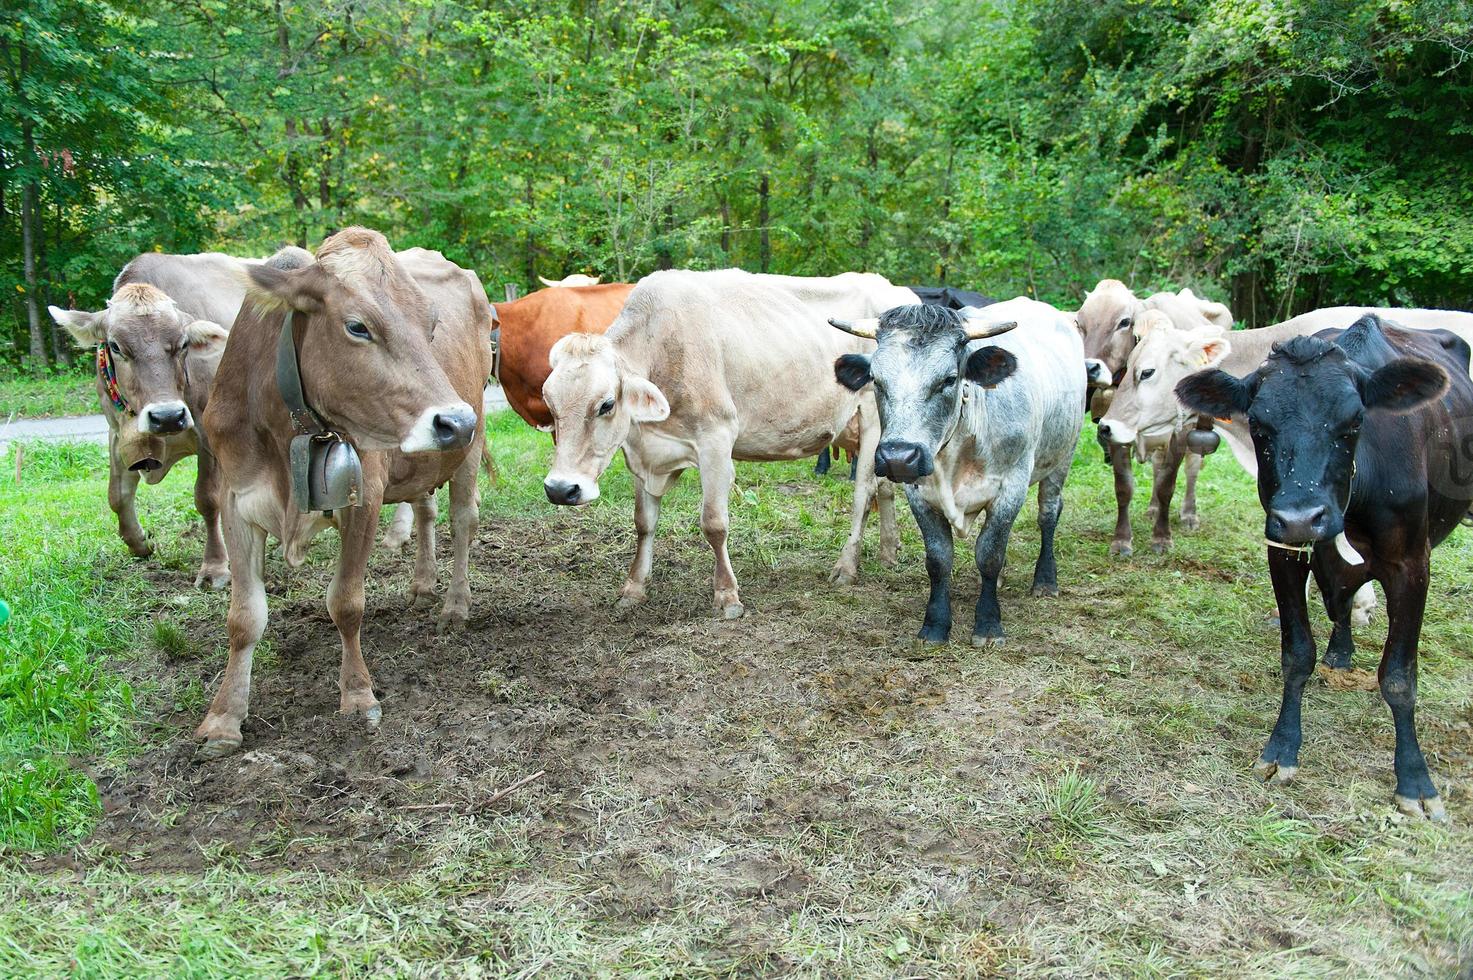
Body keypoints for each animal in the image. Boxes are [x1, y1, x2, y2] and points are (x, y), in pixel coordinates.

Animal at [48, 249, 310, 583]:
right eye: (116, 346)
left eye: (183, 343)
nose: (167, 416)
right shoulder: (116, 432)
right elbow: (118, 495)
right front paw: (139, 543)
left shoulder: (208, 435)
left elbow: (207, 498)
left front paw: (214, 567)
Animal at [192, 231, 494, 754]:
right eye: (357, 327)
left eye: (431, 325)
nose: (456, 421)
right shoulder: (236, 502)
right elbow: (244, 618)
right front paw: (224, 717)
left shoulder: (364, 497)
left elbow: (347, 603)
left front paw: (357, 695)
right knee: (426, 508)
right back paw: (422, 583)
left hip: (467, 452)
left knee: (462, 521)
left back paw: (455, 604)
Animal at [1172, 315, 1473, 819]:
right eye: (1258, 424)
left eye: (1355, 421)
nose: (1300, 516)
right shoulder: (1283, 550)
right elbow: (1297, 653)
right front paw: (1281, 749)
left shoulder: (1412, 563)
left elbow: (1399, 676)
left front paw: (1415, 780)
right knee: (1340, 602)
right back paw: (1341, 650)